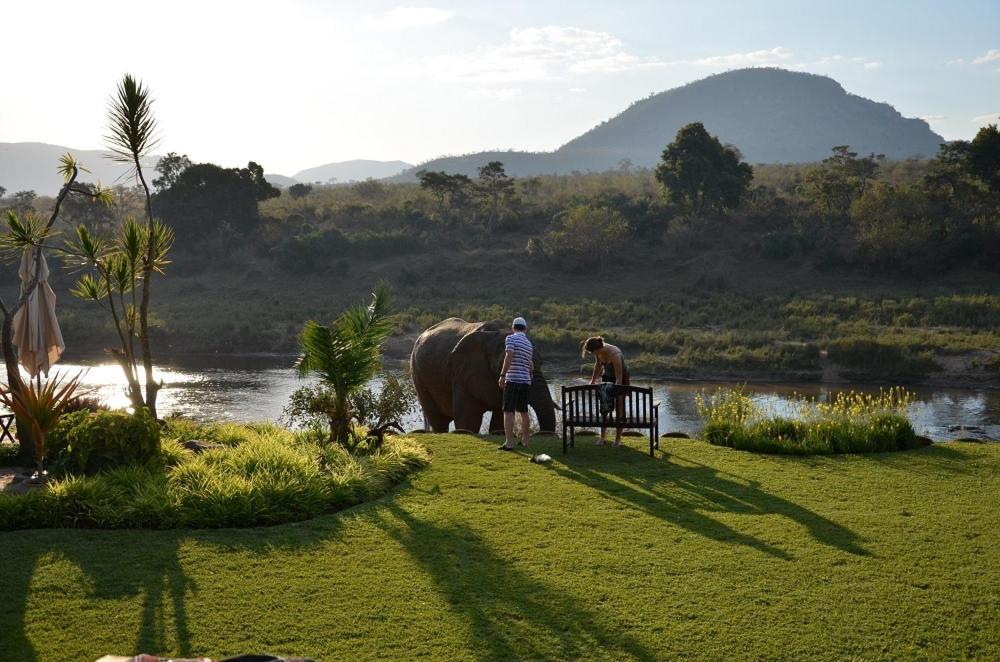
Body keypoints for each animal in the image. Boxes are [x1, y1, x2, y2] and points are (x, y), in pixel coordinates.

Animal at [410, 318, 560, 436]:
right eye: (503, 366)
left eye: (541, 362)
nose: (541, 435)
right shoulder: (463, 373)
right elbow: (469, 419)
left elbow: (499, 419)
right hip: (417, 373)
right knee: (438, 421)